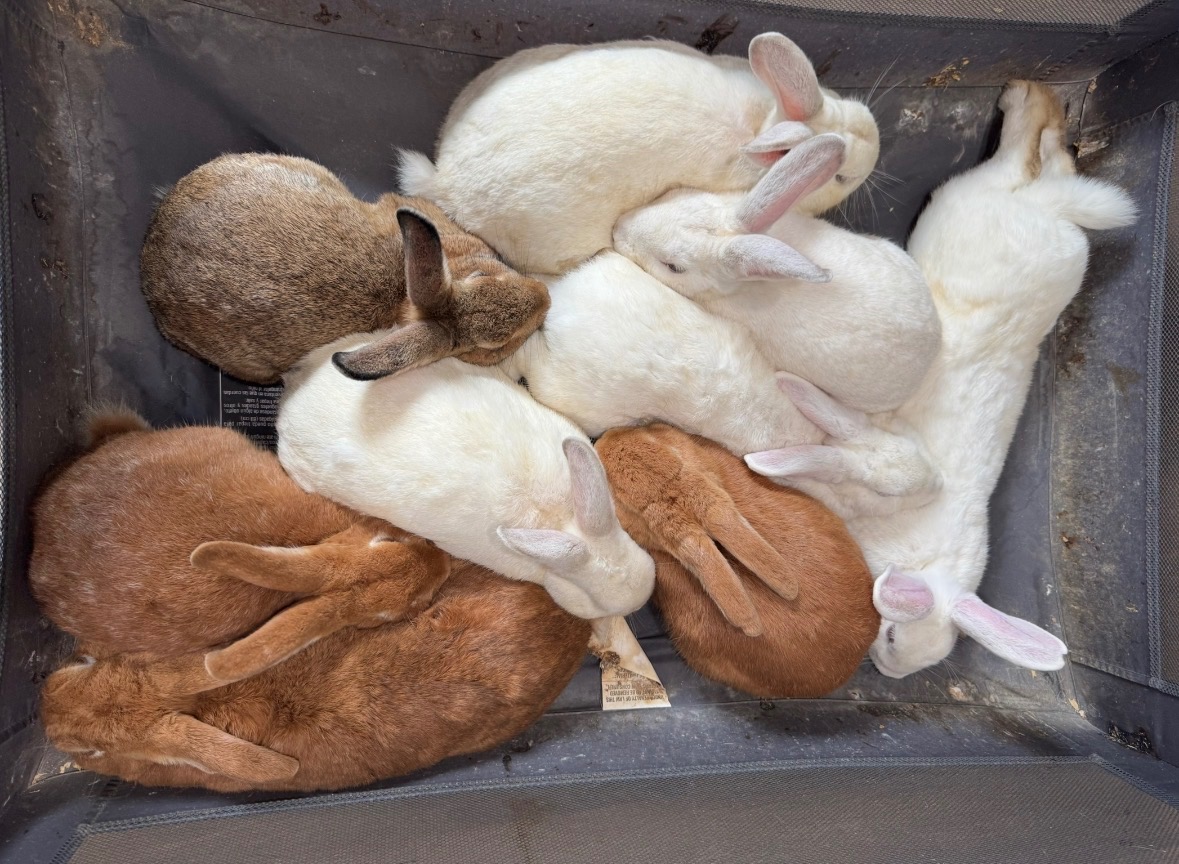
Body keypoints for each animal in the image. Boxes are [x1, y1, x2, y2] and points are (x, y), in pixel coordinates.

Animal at [745, 82, 1136, 677]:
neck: (929, 563)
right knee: (1021, 162)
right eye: (891, 637)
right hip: (967, 196)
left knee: (1048, 165)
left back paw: (1038, 103)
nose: (886, 673)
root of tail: (1055, 212)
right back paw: (1022, 99)